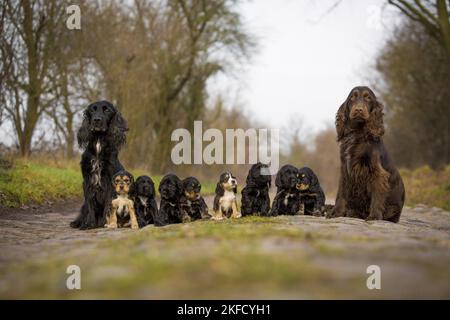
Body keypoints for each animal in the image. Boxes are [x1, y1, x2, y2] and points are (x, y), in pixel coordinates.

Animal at [70, 101, 127, 229]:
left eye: (107, 110)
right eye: (92, 110)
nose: (97, 120)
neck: (98, 143)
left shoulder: (110, 182)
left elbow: (108, 204)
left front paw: (105, 223)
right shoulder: (87, 180)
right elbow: (90, 204)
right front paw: (89, 224)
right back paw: (77, 222)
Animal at [328, 87, 406, 222]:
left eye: (368, 98)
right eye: (352, 98)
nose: (359, 109)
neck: (357, 133)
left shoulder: (377, 172)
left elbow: (377, 195)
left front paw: (374, 216)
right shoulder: (345, 170)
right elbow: (341, 194)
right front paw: (336, 213)